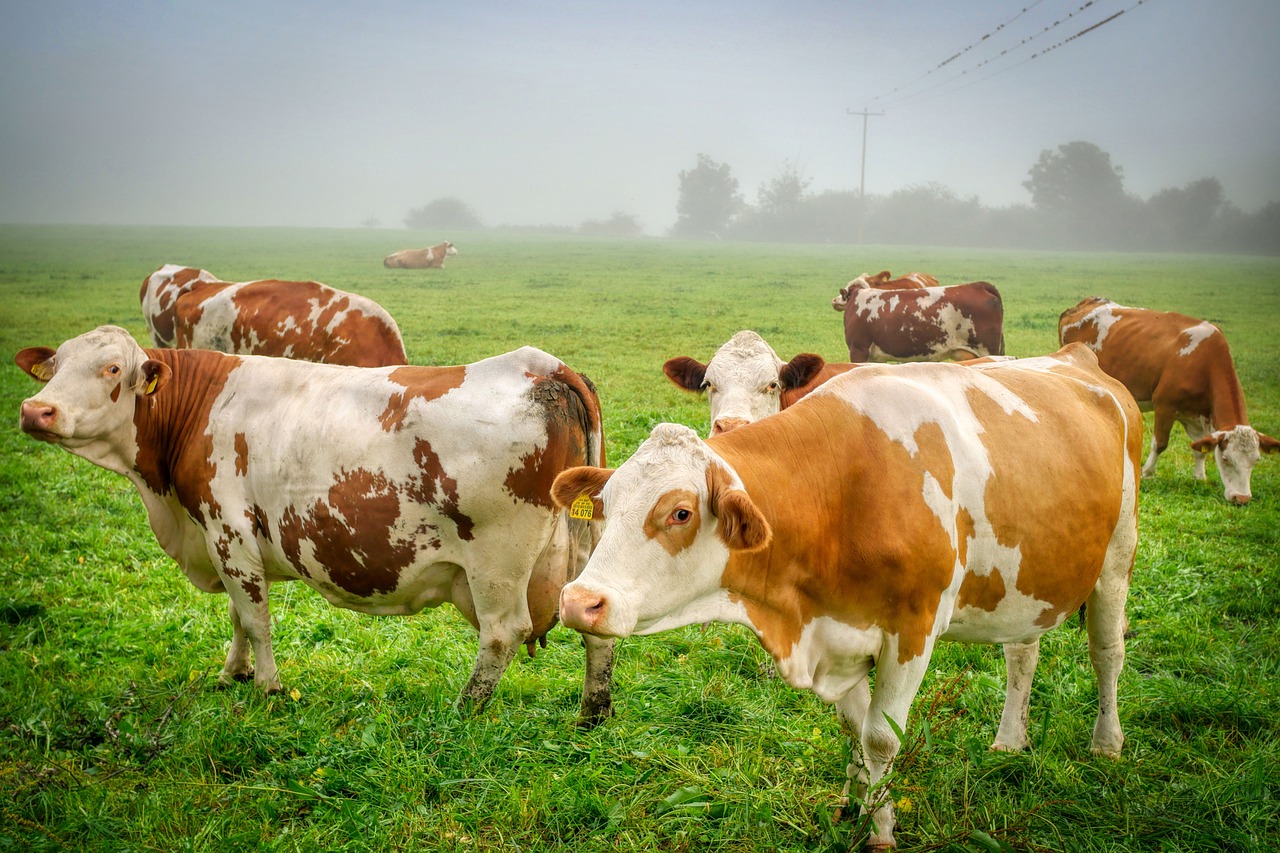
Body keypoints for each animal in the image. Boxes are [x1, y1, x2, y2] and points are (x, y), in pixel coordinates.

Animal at [15, 322, 614, 722]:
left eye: (113, 369)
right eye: (55, 367)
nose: (35, 410)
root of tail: (542, 365)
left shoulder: (227, 530)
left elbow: (255, 618)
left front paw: (267, 689)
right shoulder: (222, 542)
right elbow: (238, 615)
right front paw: (232, 674)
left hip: (496, 560)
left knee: (502, 633)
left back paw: (462, 710)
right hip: (586, 545)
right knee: (596, 622)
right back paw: (593, 712)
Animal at [550, 343, 1141, 845]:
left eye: (680, 512)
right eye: (606, 501)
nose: (580, 601)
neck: (842, 491)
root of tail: (1078, 356)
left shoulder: (912, 630)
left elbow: (880, 737)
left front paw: (880, 832)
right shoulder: (839, 632)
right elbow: (853, 727)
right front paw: (851, 806)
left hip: (1117, 556)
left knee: (1107, 652)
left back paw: (1107, 744)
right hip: (1026, 580)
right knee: (1022, 652)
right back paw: (1010, 740)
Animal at [1054, 295, 1274, 502]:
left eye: (1256, 460)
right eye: (1227, 459)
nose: (1241, 498)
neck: (1205, 362)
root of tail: (1086, 303)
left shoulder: (1198, 415)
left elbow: (1200, 448)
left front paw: (1199, 476)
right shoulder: (1164, 406)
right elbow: (1160, 443)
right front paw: (1148, 472)